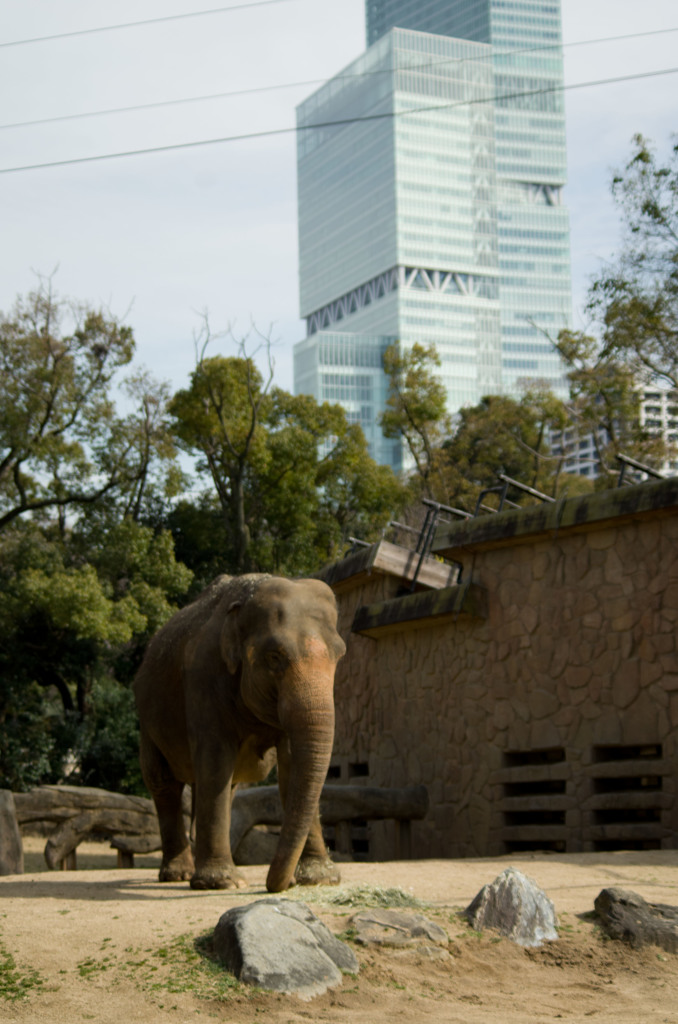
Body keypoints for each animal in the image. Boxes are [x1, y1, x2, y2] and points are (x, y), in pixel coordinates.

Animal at [134, 573, 346, 892]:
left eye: (339, 655)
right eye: (274, 657)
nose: (277, 884)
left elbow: (292, 766)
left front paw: (321, 879)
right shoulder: (203, 676)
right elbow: (215, 760)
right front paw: (221, 883)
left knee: (225, 785)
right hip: (146, 720)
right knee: (164, 783)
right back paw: (179, 875)